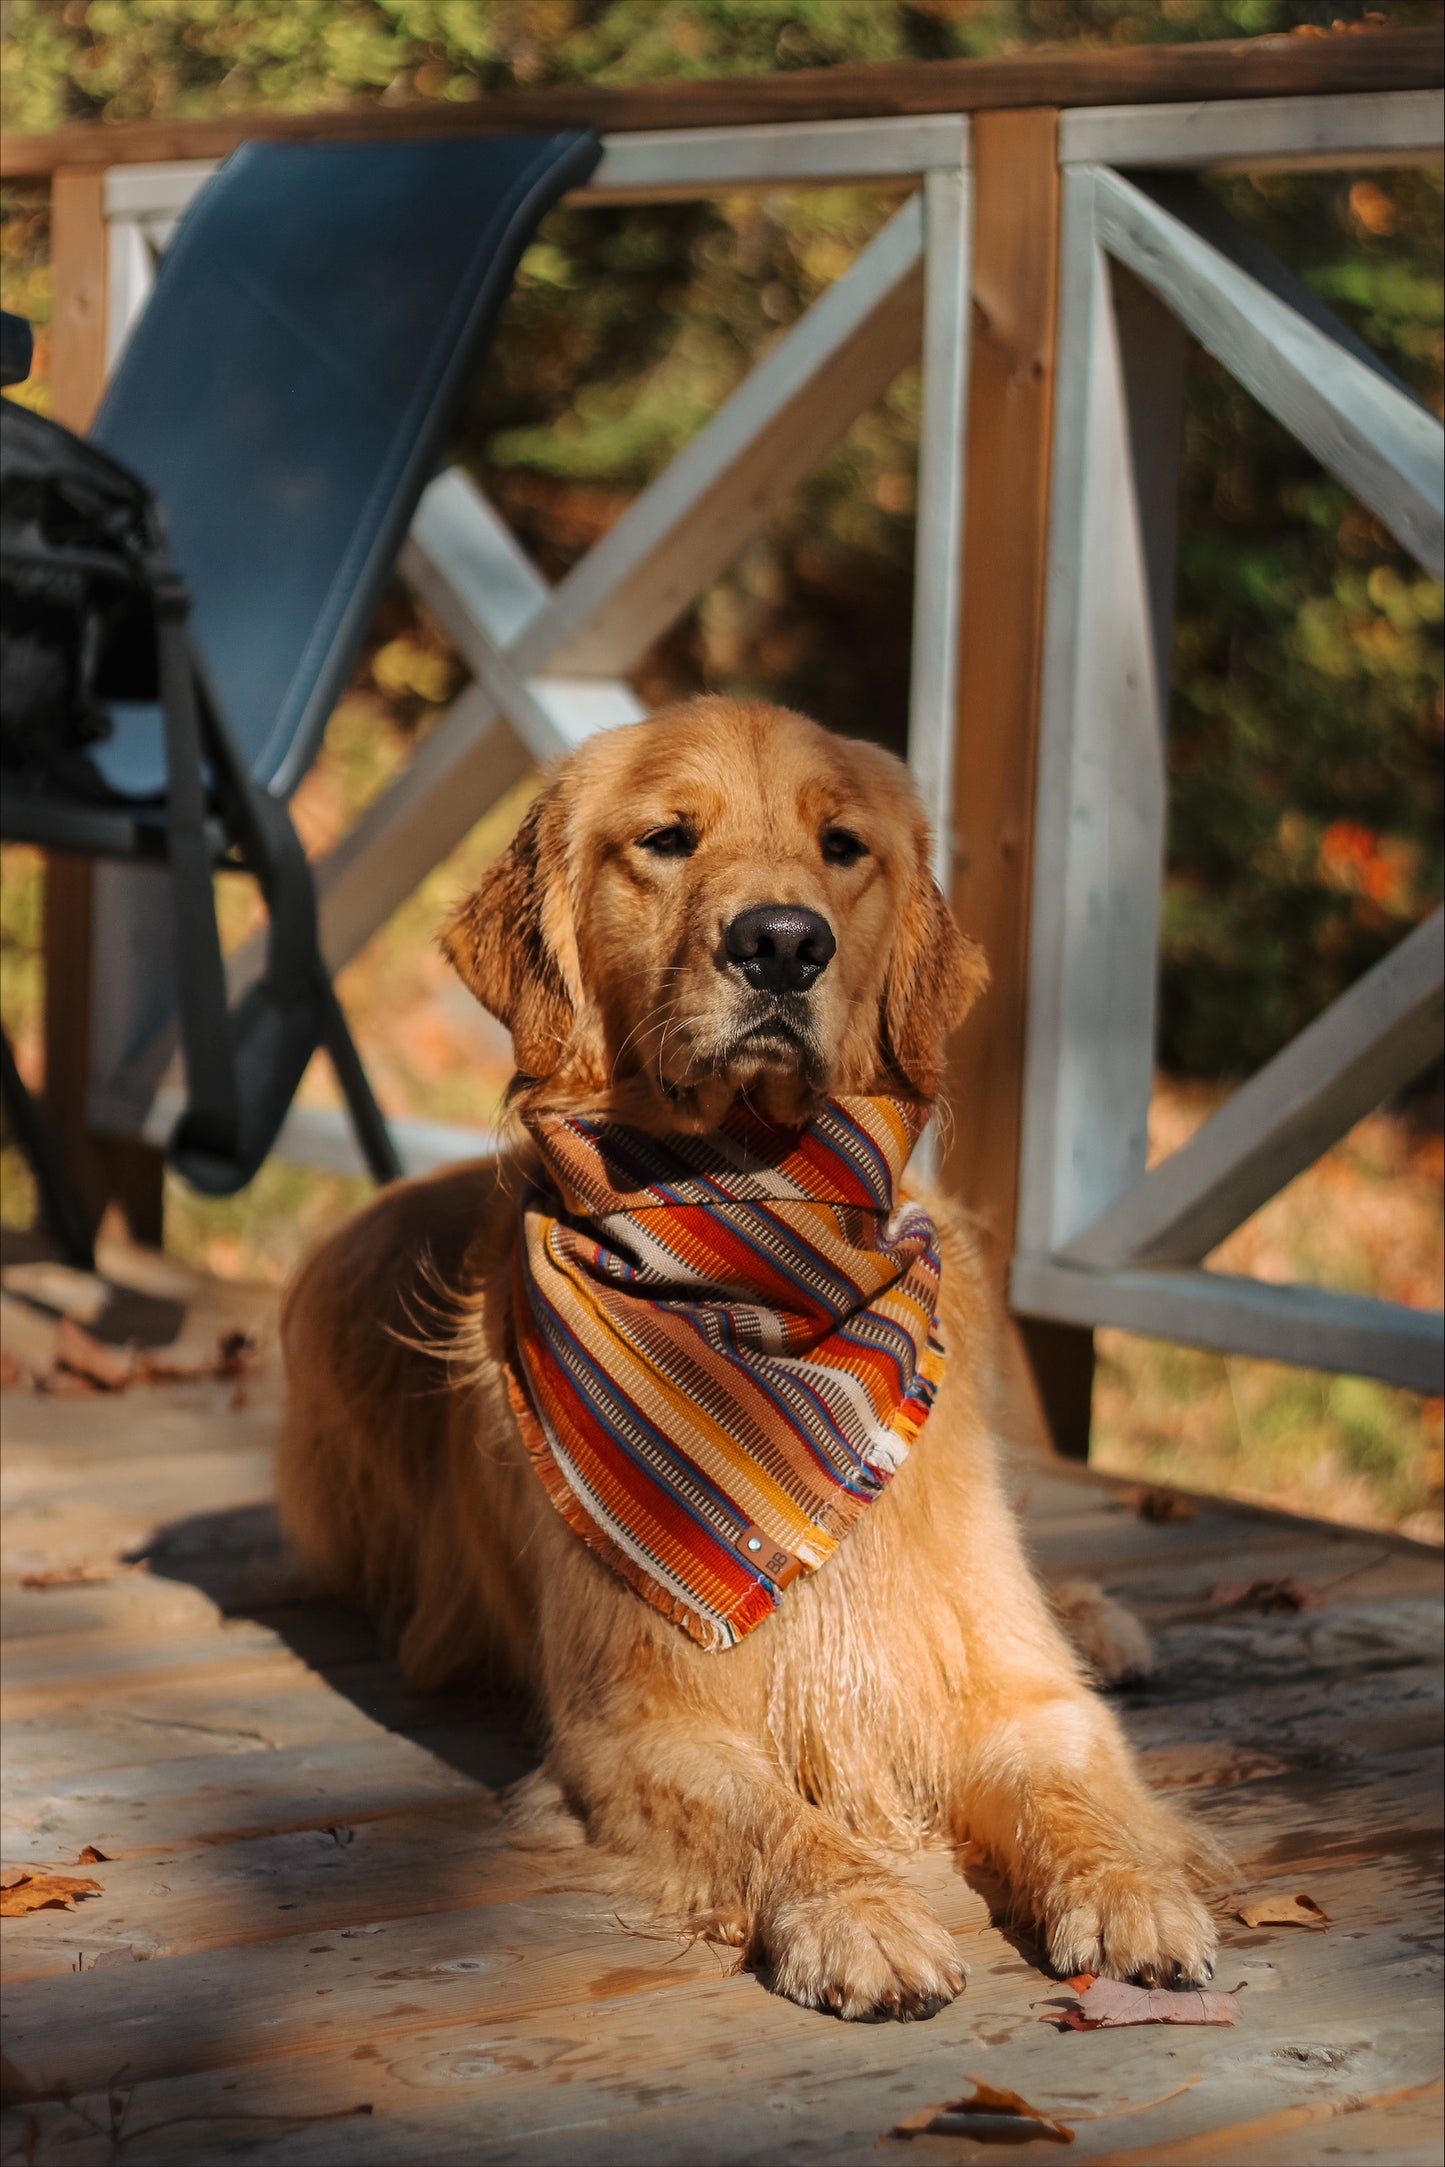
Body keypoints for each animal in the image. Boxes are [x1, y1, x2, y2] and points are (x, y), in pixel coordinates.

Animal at [279, 702, 1221, 2019]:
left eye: (842, 846)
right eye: (667, 839)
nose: (780, 943)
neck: (753, 1238)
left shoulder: (1013, 1686)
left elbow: (1069, 1784)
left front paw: (1130, 1887)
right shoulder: (640, 1718)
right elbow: (781, 1819)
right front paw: (859, 1917)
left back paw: (1096, 1616)